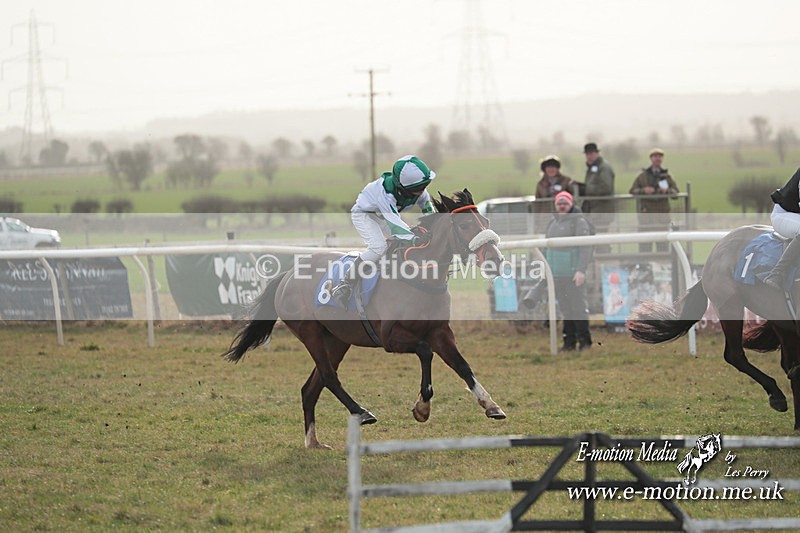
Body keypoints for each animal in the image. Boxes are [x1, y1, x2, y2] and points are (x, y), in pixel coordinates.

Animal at [223, 189, 508, 448]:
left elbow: (462, 366)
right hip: (309, 333)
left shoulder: (440, 332)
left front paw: (491, 405)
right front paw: (422, 407)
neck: (421, 277)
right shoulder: (390, 338)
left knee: (310, 388)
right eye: (465, 225)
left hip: (337, 339)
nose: (495, 260)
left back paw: (313, 442)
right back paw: (362, 412)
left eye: (486, 222)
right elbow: (425, 352)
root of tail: (287, 275)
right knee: (328, 376)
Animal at [627, 225, 800, 430]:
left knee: (790, 366)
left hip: (778, 317)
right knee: (735, 355)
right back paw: (778, 397)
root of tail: (716, 250)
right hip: (729, 304)